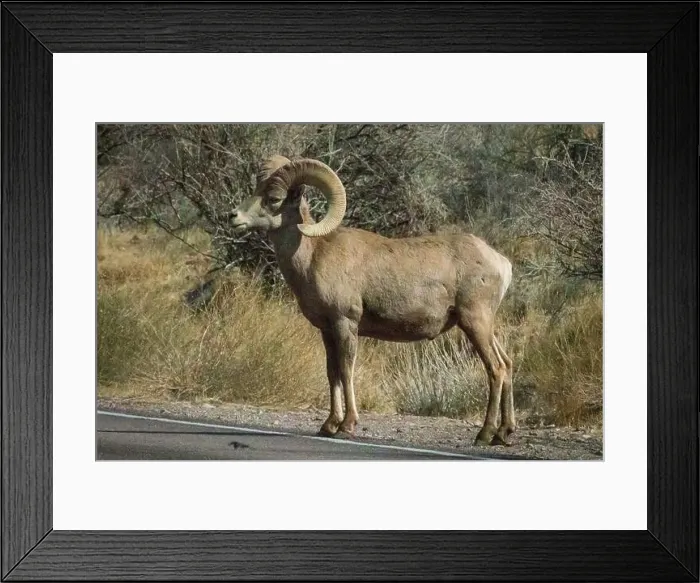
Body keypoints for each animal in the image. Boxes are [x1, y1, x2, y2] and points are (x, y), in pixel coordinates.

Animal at [230, 156, 515, 446]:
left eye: (274, 198)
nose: (234, 216)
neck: (313, 255)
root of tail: (501, 262)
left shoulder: (345, 324)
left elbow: (346, 370)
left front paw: (347, 425)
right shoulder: (327, 331)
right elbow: (332, 373)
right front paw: (328, 425)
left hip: (474, 322)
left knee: (496, 368)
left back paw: (484, 434)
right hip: (483, 326)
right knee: (507, 364)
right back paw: (503, 433)